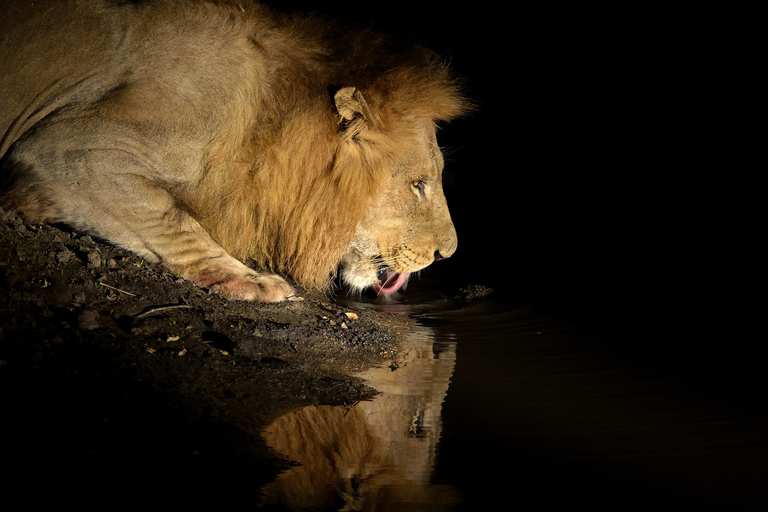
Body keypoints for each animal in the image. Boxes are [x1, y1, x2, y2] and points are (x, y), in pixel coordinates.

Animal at [0, 0, 468, 302]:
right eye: (418, 184)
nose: (447, 254)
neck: (265, 125)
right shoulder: (68, 149)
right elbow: (171, 217)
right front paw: (251, 280)